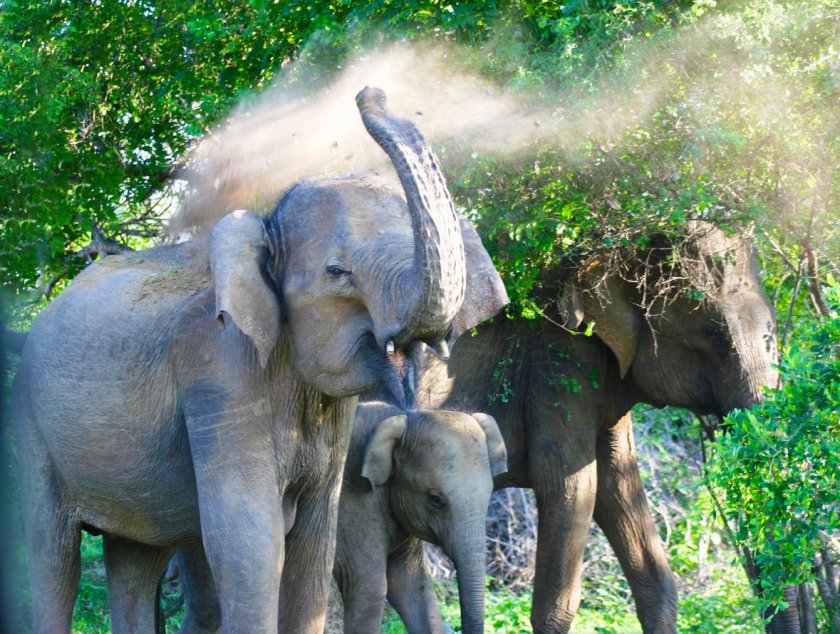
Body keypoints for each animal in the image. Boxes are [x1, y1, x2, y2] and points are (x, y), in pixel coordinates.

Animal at [164, 402, 506, 628]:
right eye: (436, 500)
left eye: (491, 492)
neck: (400, 418)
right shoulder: (355, 505)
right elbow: (370, 588)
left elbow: (413, 588)